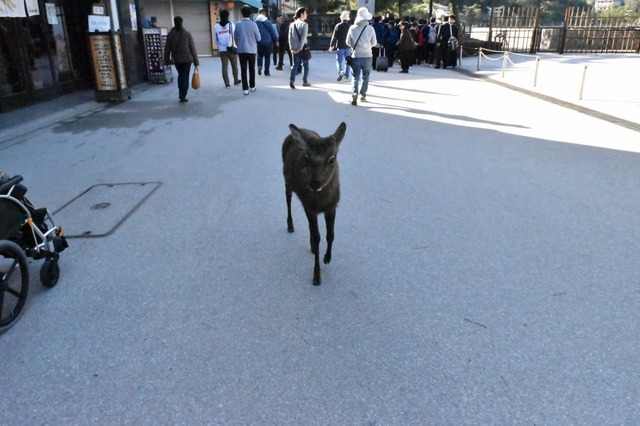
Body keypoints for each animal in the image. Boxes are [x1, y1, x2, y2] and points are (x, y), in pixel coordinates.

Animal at [282, 122, 347, 286]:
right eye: (306, 157)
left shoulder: (331, 206)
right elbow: (318, 238)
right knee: (288, 200)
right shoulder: (310, 206)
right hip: (287, 183)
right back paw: (290, 225)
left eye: (332, 159)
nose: (314, 183)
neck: (322, 201)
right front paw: (316, 276)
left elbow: (330, 234)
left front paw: (327, 258)